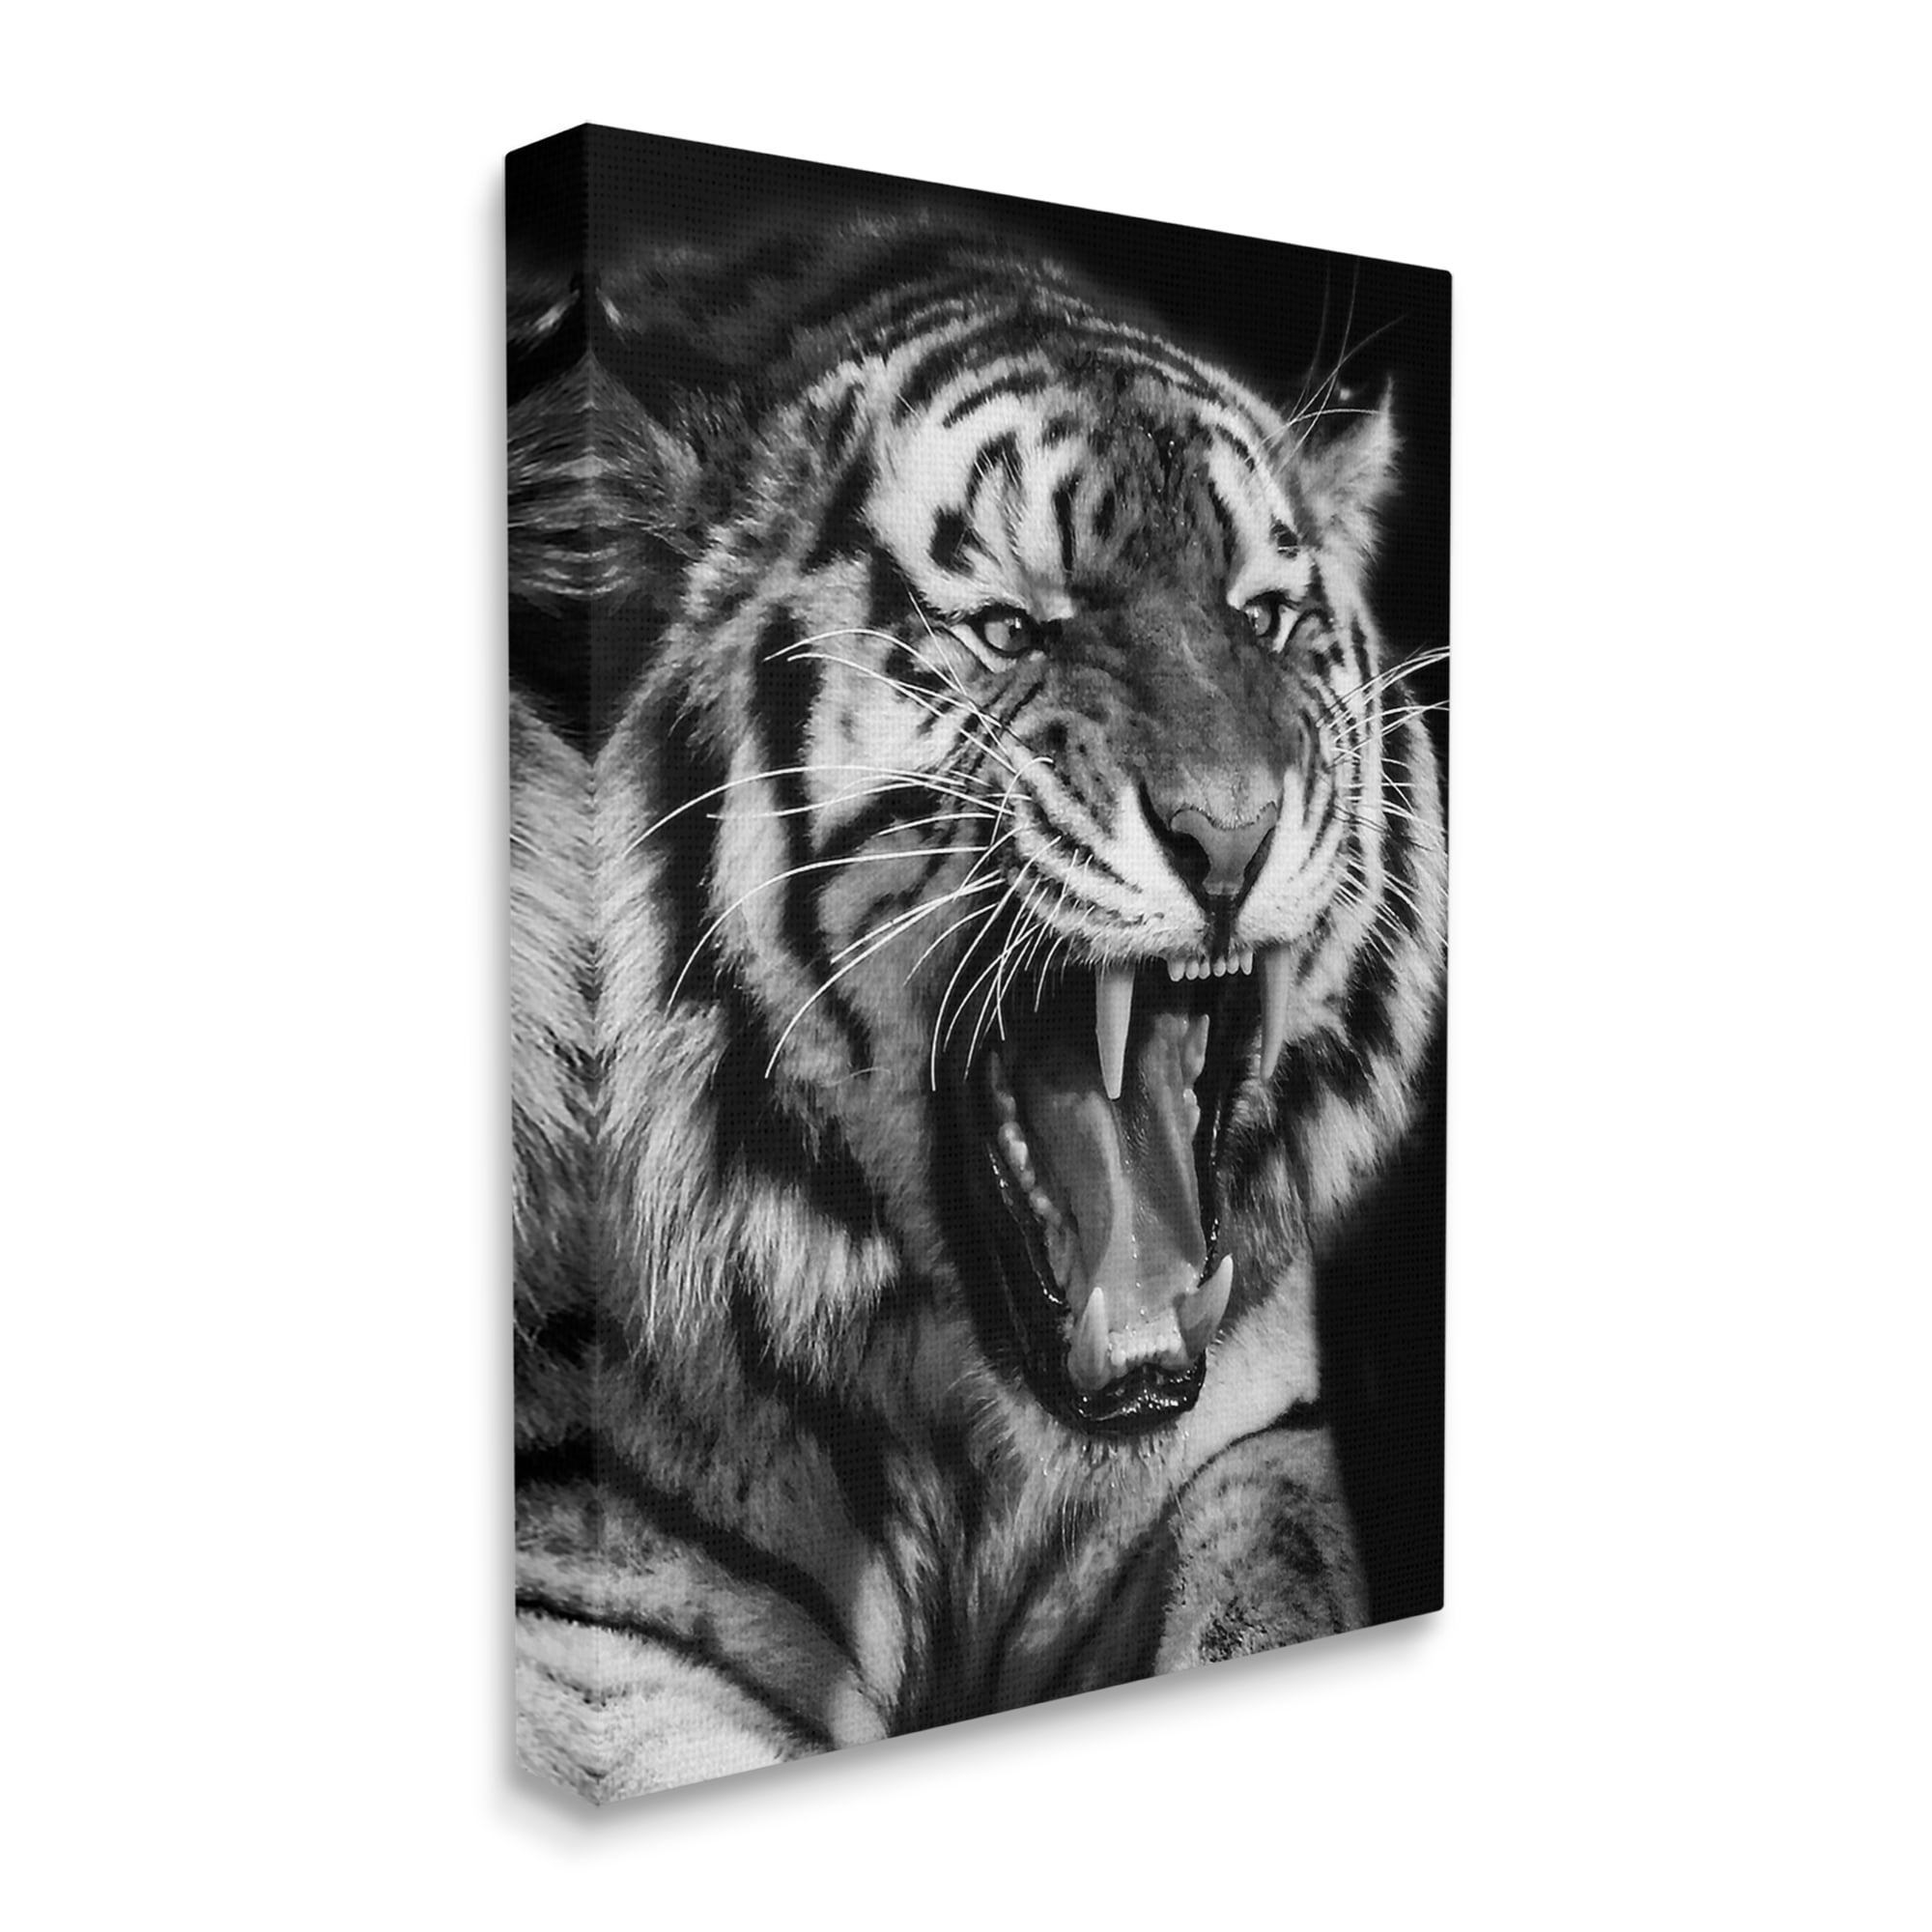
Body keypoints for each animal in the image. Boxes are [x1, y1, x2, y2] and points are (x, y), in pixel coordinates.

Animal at [508, 216, 1448, 1803]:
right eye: (1011, 631)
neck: (967, 1433)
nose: (1231, 835)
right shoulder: (596, 1611)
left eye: (1263, 620)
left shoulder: (1245, 1447)